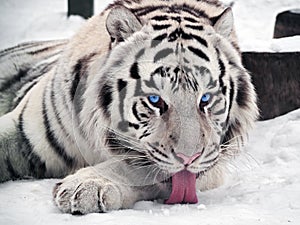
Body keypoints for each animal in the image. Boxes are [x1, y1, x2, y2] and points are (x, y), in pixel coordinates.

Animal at [0, 0, 258, 214]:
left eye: (205, 99)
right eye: (155, 100)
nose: (189, 158)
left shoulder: (212, 162)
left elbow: (133, 166)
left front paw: (86, 186)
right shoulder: (24, 128)